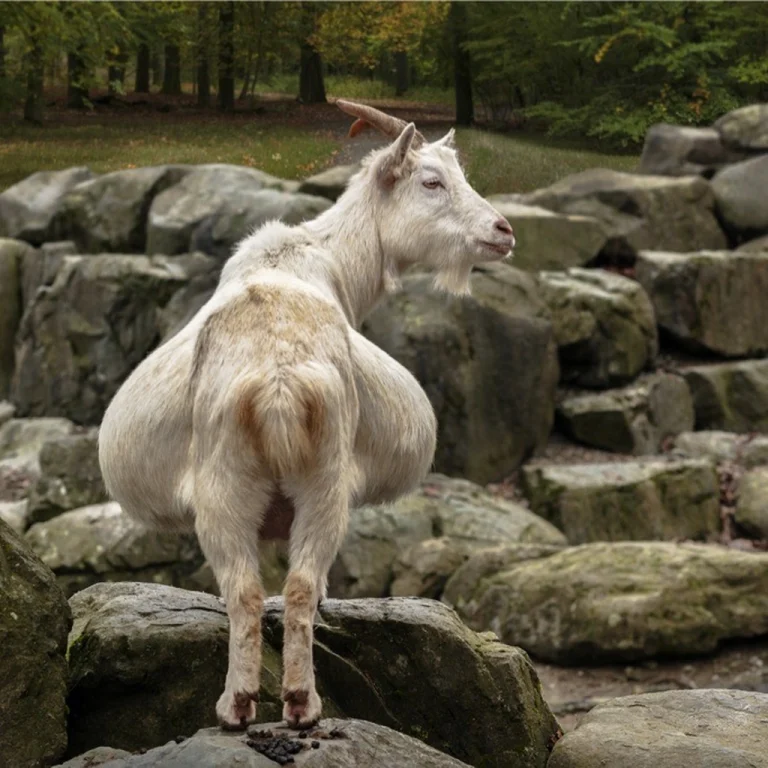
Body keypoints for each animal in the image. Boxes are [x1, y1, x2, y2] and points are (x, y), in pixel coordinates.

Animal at [98, 99, 515, 730]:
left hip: (243, 486)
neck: (317, 260)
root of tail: (277, 380)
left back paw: (255, 704)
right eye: (432, 181)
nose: (503, 232)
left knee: (255, 591)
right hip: (318, 478)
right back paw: (289, 702)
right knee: (285, 587)